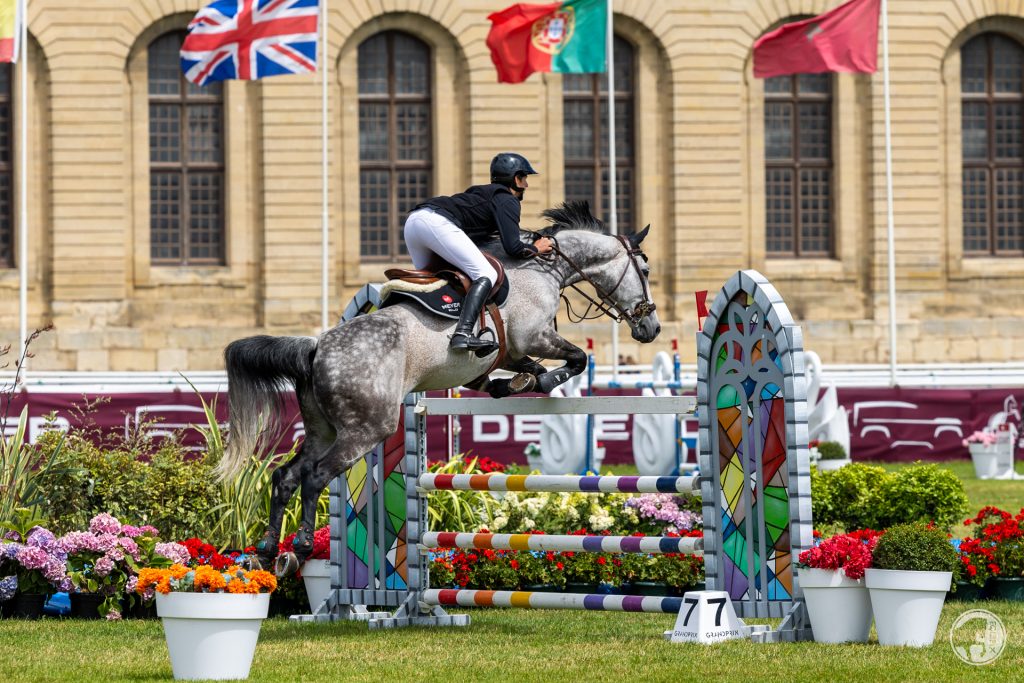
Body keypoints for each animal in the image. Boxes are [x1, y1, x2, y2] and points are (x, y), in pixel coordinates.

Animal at [220, 201, 659, 573]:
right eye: (645, 270)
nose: (651, 328)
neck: (542, 270)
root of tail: (316, 348)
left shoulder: (513, 350)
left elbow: (522, 368)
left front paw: (514, 382)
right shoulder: (533, 337)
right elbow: (576, 359)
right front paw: (543, 380)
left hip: (322, 429)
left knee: (286, 477)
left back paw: (267, 550)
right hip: (365, 429)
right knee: (314, 477)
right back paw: (302, 546)